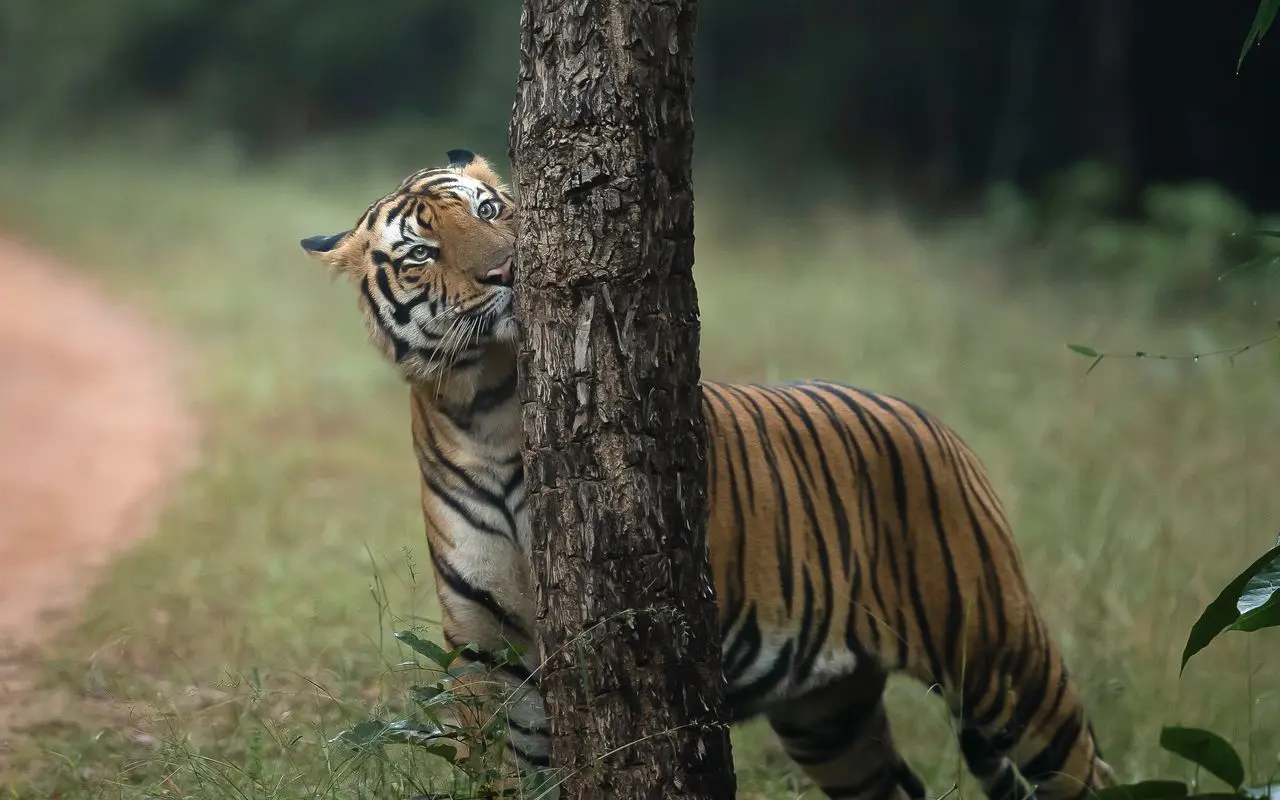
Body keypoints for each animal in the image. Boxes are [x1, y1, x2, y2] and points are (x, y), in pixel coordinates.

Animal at [298, 149, 1116, 800]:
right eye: (422, 255)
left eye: (491, 209)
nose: (507, 272)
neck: (488, 407)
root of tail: (934, 423)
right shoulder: (484, 651)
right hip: (830, 716)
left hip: (1000, 657)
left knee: (1082, 764)